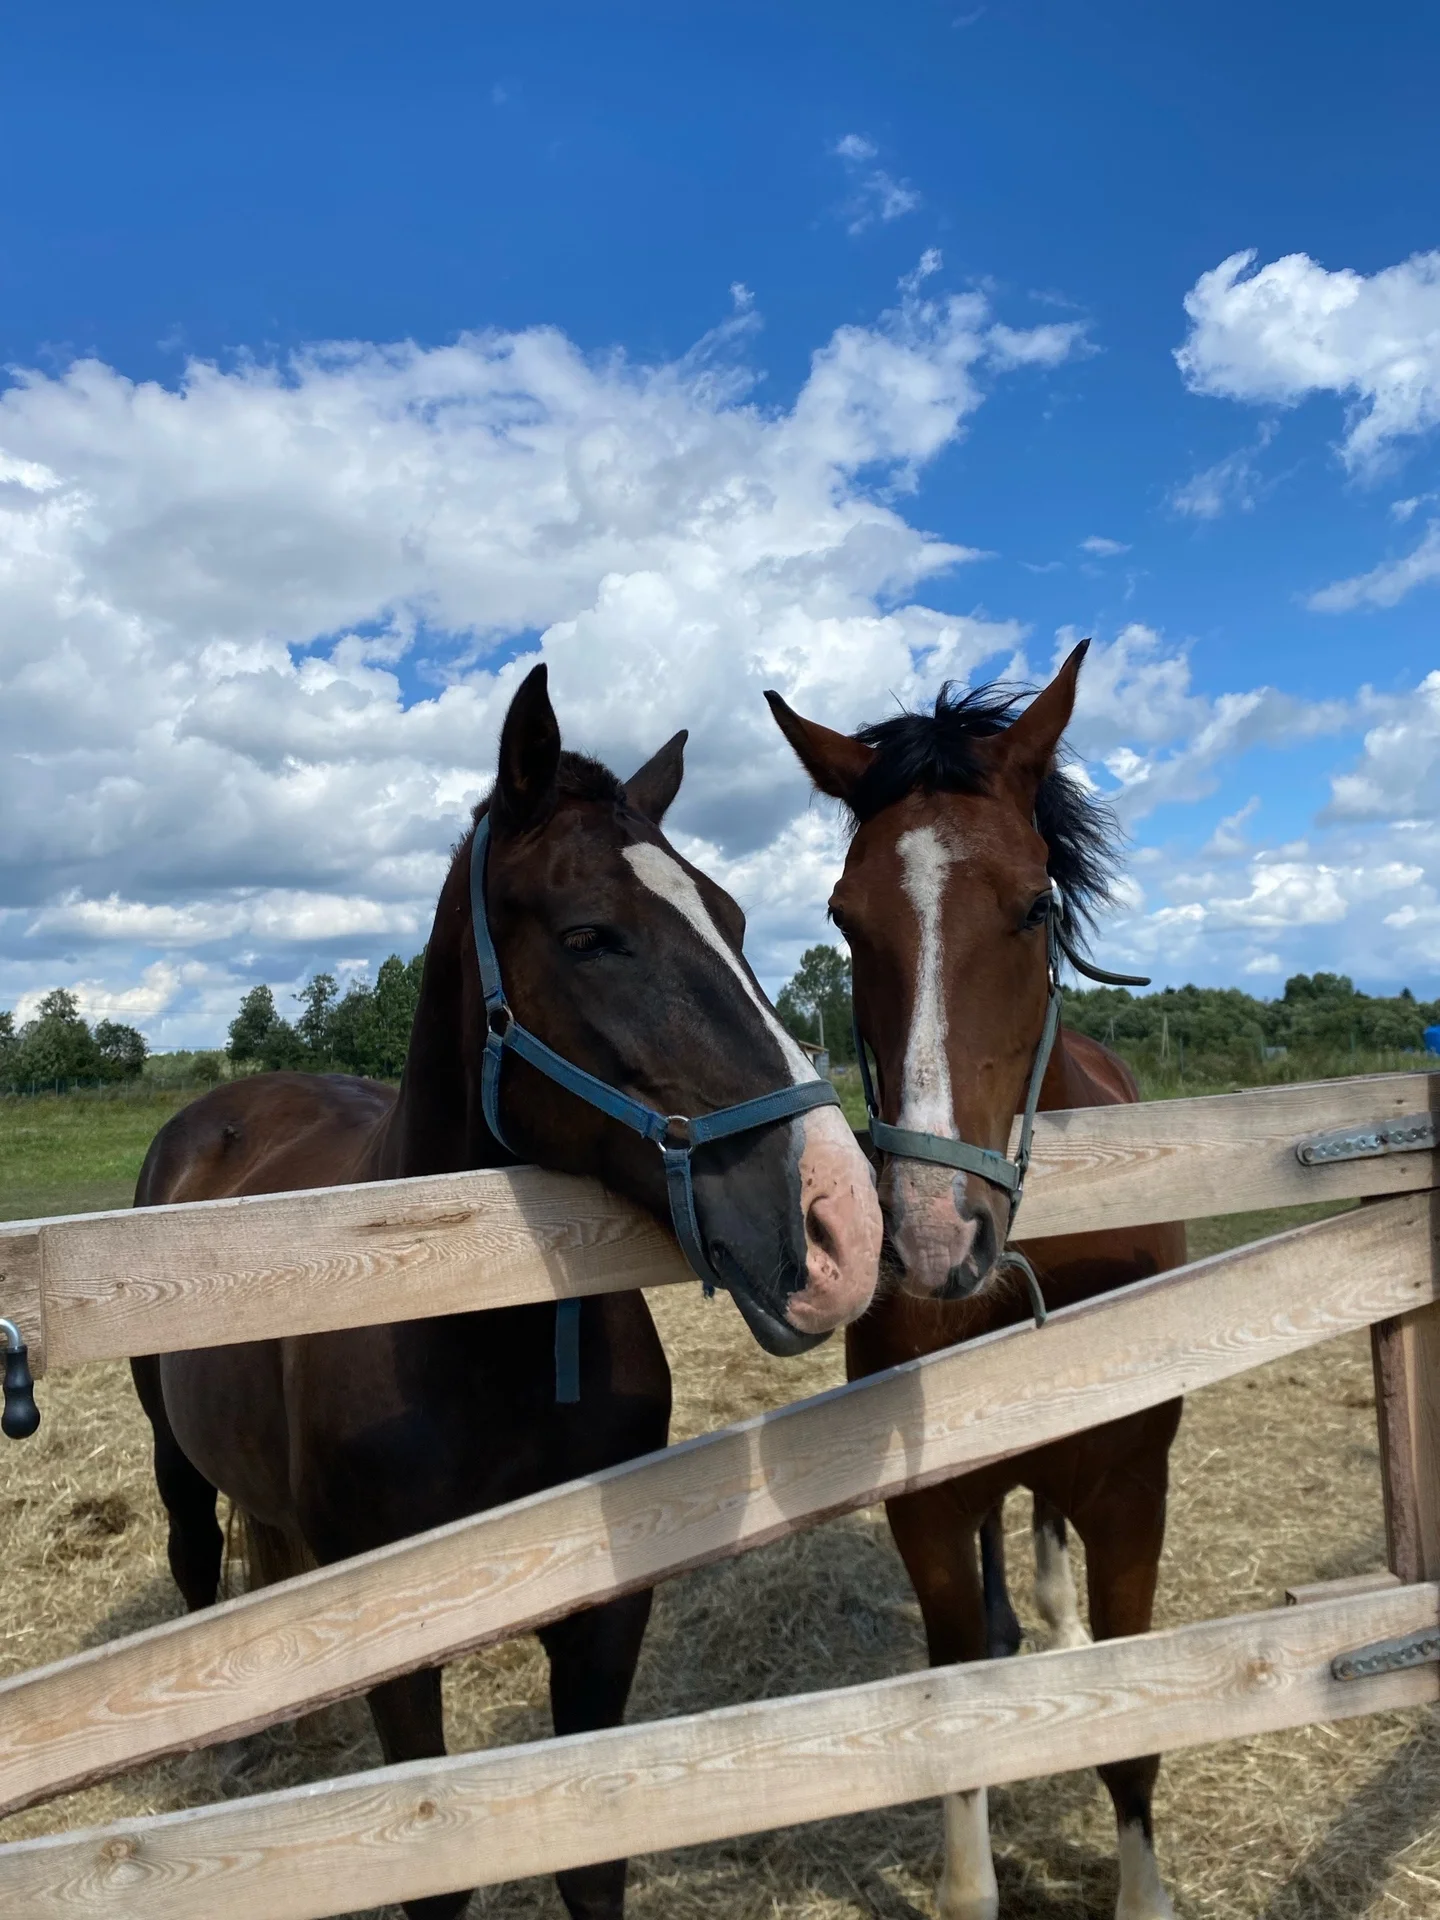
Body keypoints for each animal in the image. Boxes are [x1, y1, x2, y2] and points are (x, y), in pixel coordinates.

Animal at [131, 663, 883, 1920]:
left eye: (733, 920)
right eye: (590, 936)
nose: (845, 1224)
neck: (477, 1340)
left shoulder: (604, 1615)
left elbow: (592, 1864)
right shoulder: (396, 1643)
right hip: (170, 1451)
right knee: (197, 1559)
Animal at [767, 641, 1185, 1920]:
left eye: (1035, 905)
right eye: (845, 918)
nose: (931, 1236)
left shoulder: (1131, 1496)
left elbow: (1131, 1734)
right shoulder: (930, 1514)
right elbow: (958, 1713)